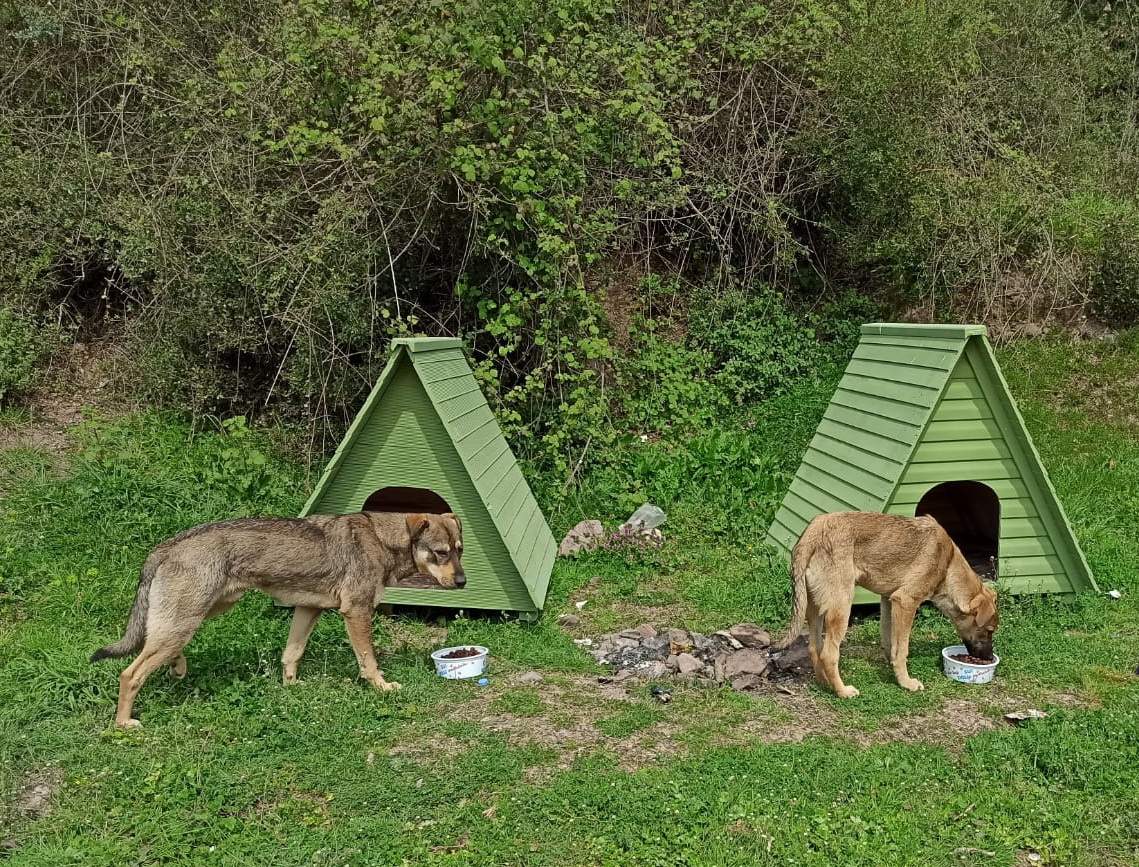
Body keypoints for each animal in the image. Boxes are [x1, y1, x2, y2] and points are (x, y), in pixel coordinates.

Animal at [88, 510, 462, 729]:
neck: (383, 538)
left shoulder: (308, 610)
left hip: (200, 614)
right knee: (130, 674)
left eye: (460, 550)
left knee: (153, 646)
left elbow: (291, 654)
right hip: (187, 621)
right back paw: (123, 724)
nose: (462, 582)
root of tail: (165, 546)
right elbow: (368, 661)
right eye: (441, 553)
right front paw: (382, 688)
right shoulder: (356, 611)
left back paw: (178, 667)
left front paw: (291, 686)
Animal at [774, 510, 997, 701]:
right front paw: (906, 683)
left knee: (814, 648)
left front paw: (895, 672)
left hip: (815, 609)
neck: (948, 565)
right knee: (829, 654)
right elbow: (902, 650)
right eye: (989, 630)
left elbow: (891, 644)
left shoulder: (889, 602)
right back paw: (842, 691)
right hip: (842, 608)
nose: (988, 658)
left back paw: (825, 683)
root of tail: (814, 529)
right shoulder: (906, 602)